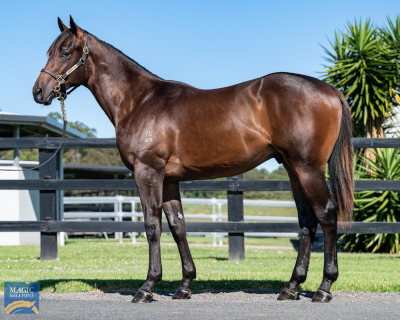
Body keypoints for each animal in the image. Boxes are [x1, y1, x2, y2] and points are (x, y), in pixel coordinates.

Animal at [33, 16, 354, 302]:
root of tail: (329, 89)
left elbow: (152, 226)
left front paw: (147, 287)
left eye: (65, 52)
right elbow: (178, 227)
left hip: (307, 168)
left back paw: (324, 288)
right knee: (307, 220)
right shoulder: (169, 180)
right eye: (49, 51)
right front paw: (185, 285)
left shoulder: (147, 172)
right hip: (292, 168)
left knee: (326, 214)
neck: (140, 101)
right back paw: (291, 287)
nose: (38, 91)